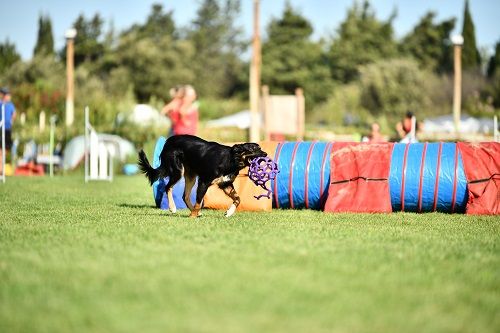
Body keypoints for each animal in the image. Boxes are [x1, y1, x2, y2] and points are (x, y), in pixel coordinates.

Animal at [138, 134, 266, 217]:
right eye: (253, 148)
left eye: (260, 148)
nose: (265, 154)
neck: (230, 160)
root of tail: (168, 141)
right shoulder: (204, 182)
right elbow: (199, 201)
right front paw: (193, 216)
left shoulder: (225, 184)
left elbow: (238, 199)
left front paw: (229, 212)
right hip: (178, 171)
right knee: (168, 187)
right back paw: (173, 208)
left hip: (191, 177)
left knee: (185, 196)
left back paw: (194, 211)